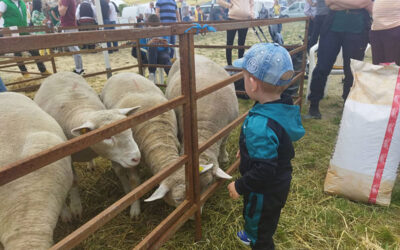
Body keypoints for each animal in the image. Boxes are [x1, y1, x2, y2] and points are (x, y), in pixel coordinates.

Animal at [33, 72, 142, 217]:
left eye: (129, 127)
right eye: (107, 136)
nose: (136, 157)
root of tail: (59, 73)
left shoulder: (112, 154)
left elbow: (121, 172)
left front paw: (129, 193)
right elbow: (73, 180)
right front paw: (75, 207)